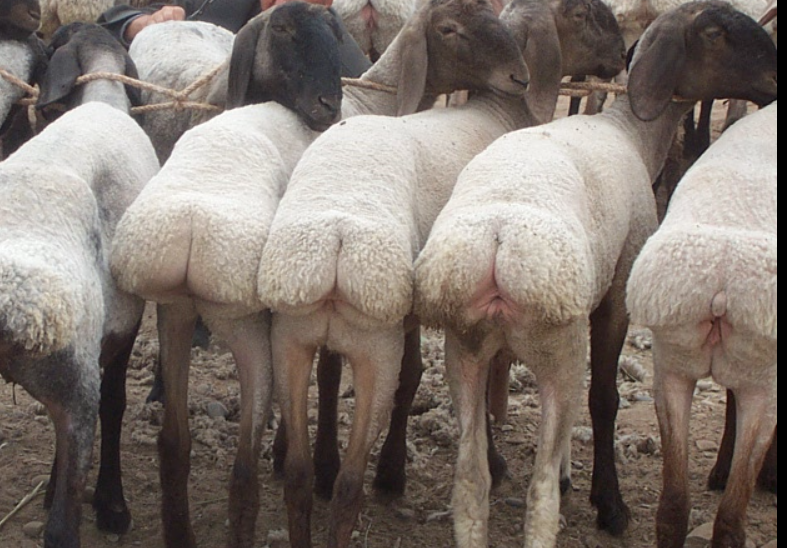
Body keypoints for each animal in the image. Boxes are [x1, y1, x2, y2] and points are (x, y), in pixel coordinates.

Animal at [0, 101, 159, 548]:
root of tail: (101, 105)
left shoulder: (75, 389)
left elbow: (61, 530)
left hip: (121, 324)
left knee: (113, 402)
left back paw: (112, 504)